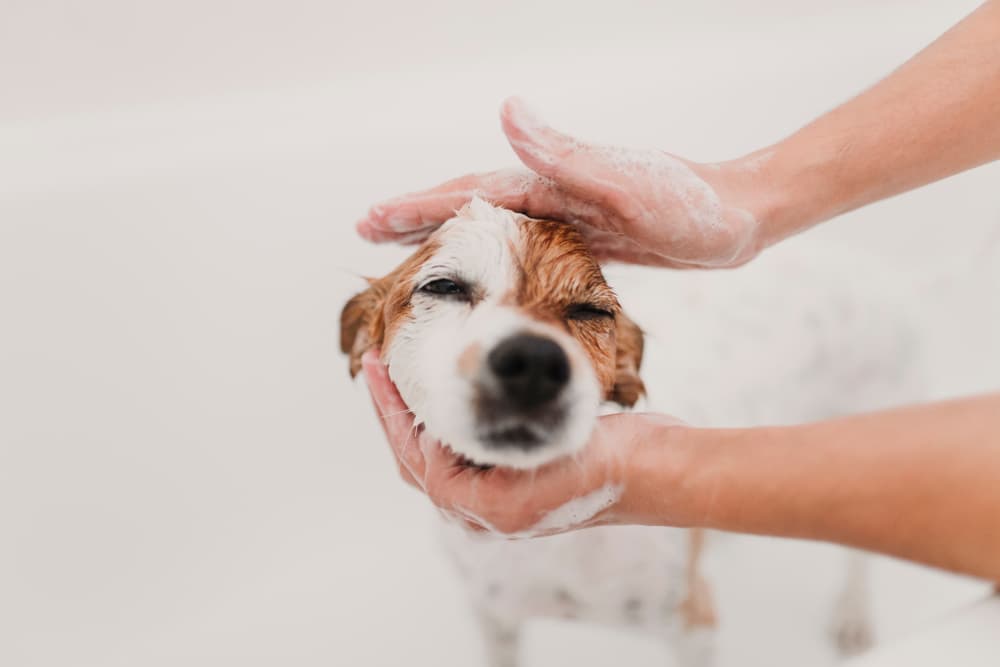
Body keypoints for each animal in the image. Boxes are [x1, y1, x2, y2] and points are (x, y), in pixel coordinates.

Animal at [338, 198, 920, 667]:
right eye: (443, 286)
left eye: (590, 310)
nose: (533, 361)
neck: (546, 552)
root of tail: (882, 275)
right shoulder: (494, 616)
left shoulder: (692, 626)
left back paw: (853, 615)